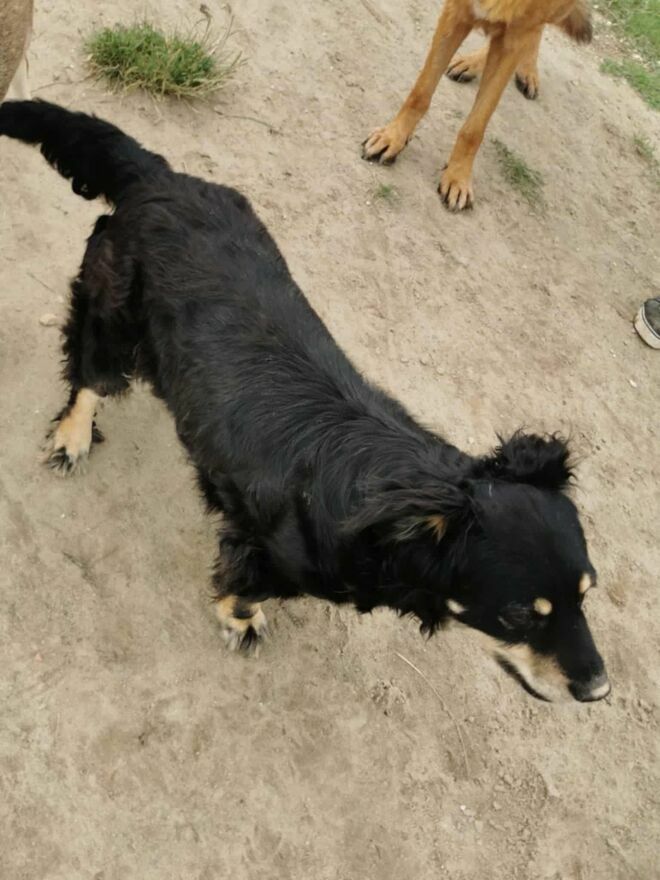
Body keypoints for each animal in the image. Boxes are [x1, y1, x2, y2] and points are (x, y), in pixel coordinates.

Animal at [0, 100, 609, 702]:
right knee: (90, 372)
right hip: (115, 307)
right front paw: (240, 619)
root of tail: (160, 176)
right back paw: (73, 436)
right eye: (520, 615)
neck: (394, 500)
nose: (598, 690)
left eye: (587, 593)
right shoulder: (268, 551)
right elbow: (248, 587)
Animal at [362, 0, 592, 210]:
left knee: (536, 27)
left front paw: (458, 176)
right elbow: (421, 92)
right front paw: (393, 136)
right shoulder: (455, 14)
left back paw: (524, 68)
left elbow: (475, 127)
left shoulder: (512, 42)